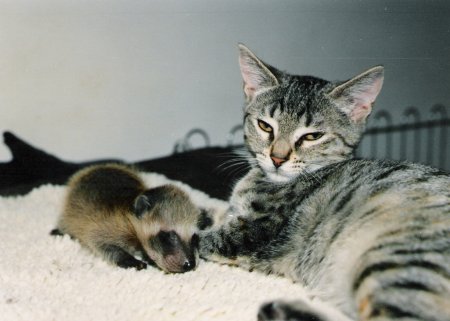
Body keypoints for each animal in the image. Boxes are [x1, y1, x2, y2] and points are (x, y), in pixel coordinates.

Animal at [50, 164, 203, 272]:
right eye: (169, 236)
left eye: (195, 237)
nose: (190, 264)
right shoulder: (108, 223)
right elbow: (100, 243)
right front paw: (127, 258)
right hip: (73, 206)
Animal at [200, 45, 450, 320]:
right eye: (265, 126)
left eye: (312, 136)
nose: (277, 158)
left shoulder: (254, 233)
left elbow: (204, 239)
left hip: (398, 262)